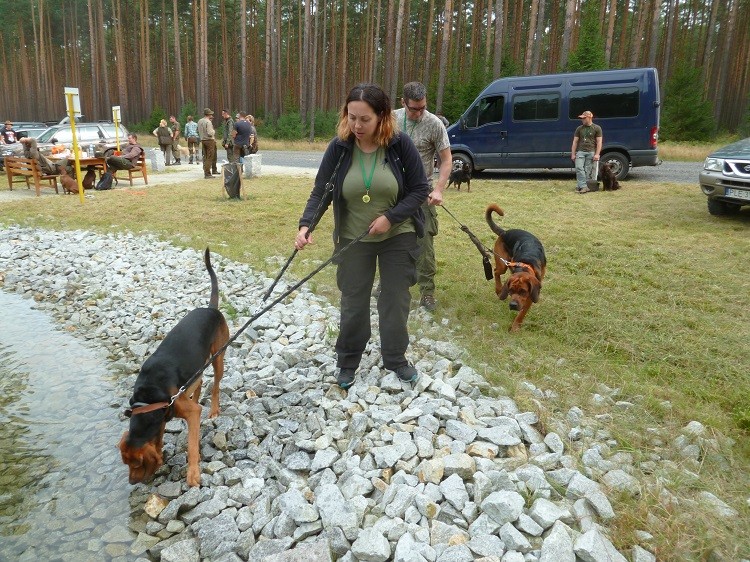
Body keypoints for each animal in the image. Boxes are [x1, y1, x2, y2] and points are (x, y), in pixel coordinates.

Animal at [119, 247, 231, 484]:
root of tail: (210, 309)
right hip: (198, 366)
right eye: (126, 463)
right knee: (199, 383)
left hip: (218, 357)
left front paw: (193, 474)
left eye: (136, 464)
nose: (132, 482)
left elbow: (192, 446)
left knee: (215, 385)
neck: (149, 399)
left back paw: (214, 410)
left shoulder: (191, 413)